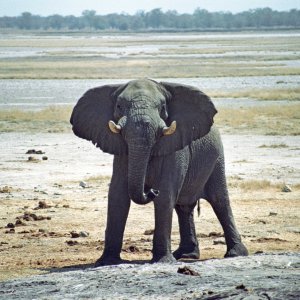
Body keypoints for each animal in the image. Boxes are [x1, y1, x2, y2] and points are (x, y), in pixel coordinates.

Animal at [71, 79, 248, 264]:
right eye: (119, 106)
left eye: (162, 106)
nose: (151, 191)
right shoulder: (121, 153)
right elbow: (117, 196)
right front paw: (107, 261)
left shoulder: (176, 148)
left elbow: (165, 196)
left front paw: (162, 261)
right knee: (183, 207)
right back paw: (185, 255)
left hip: (217, 159)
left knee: (219, 201)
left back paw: (235, 253)